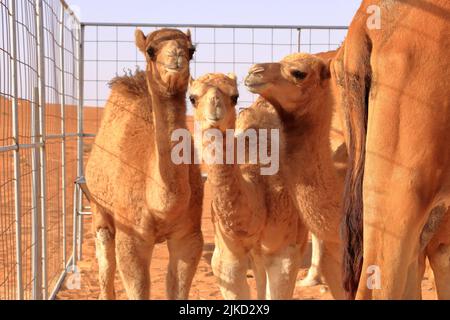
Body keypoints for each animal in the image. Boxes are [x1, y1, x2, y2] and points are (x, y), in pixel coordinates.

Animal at [85, 28, 204, 300]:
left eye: (191, 50)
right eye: (151, 50)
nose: (177, 56)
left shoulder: (189, 236)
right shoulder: (132, 237)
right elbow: (137, 286)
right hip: (98, 205)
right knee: (105, 259)